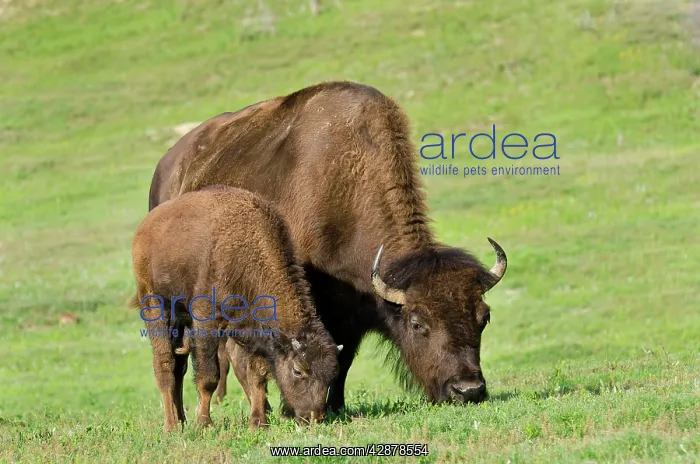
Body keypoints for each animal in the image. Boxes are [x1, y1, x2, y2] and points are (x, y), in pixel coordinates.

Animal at [129, 186, 341, 431]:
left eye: (331, 375)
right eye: (298, 370)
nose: (314, 417)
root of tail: (145, 229)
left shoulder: (253, 331)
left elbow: (257, 375)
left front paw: (258, 422)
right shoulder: (206, 321)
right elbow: (209, 376)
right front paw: (204, 423)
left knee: (179, 366)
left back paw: (181, 421)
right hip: (154, 304)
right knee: (165, 365)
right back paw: (172, 426)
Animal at [148, 81, 508, 411]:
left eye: (484, 317)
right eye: (418, 323)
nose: (468, 390)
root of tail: (167, 167)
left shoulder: (352, 312)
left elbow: (342, 359)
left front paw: (336, 405)